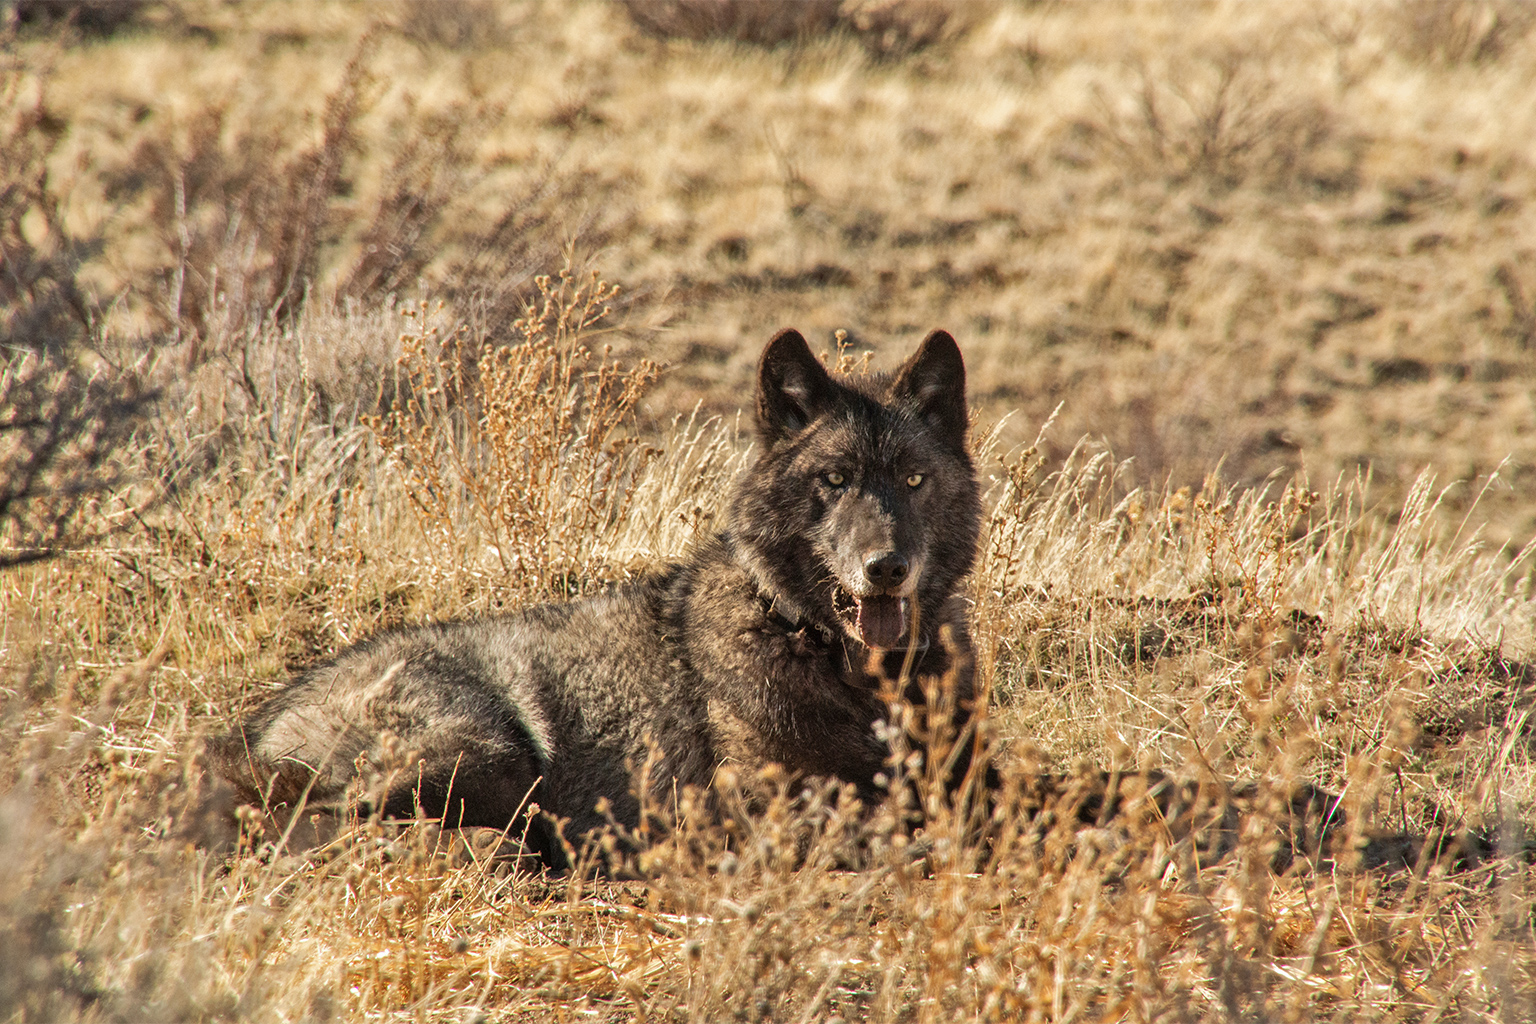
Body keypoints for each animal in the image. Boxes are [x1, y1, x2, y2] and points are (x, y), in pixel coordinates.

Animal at [211, 328, 988, 867]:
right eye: (834, 480)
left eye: (914, 479)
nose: (887, 567)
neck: (854, 674)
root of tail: (259, 725)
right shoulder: (761, 809)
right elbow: (895, 827)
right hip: (488, 749)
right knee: (322, 825)